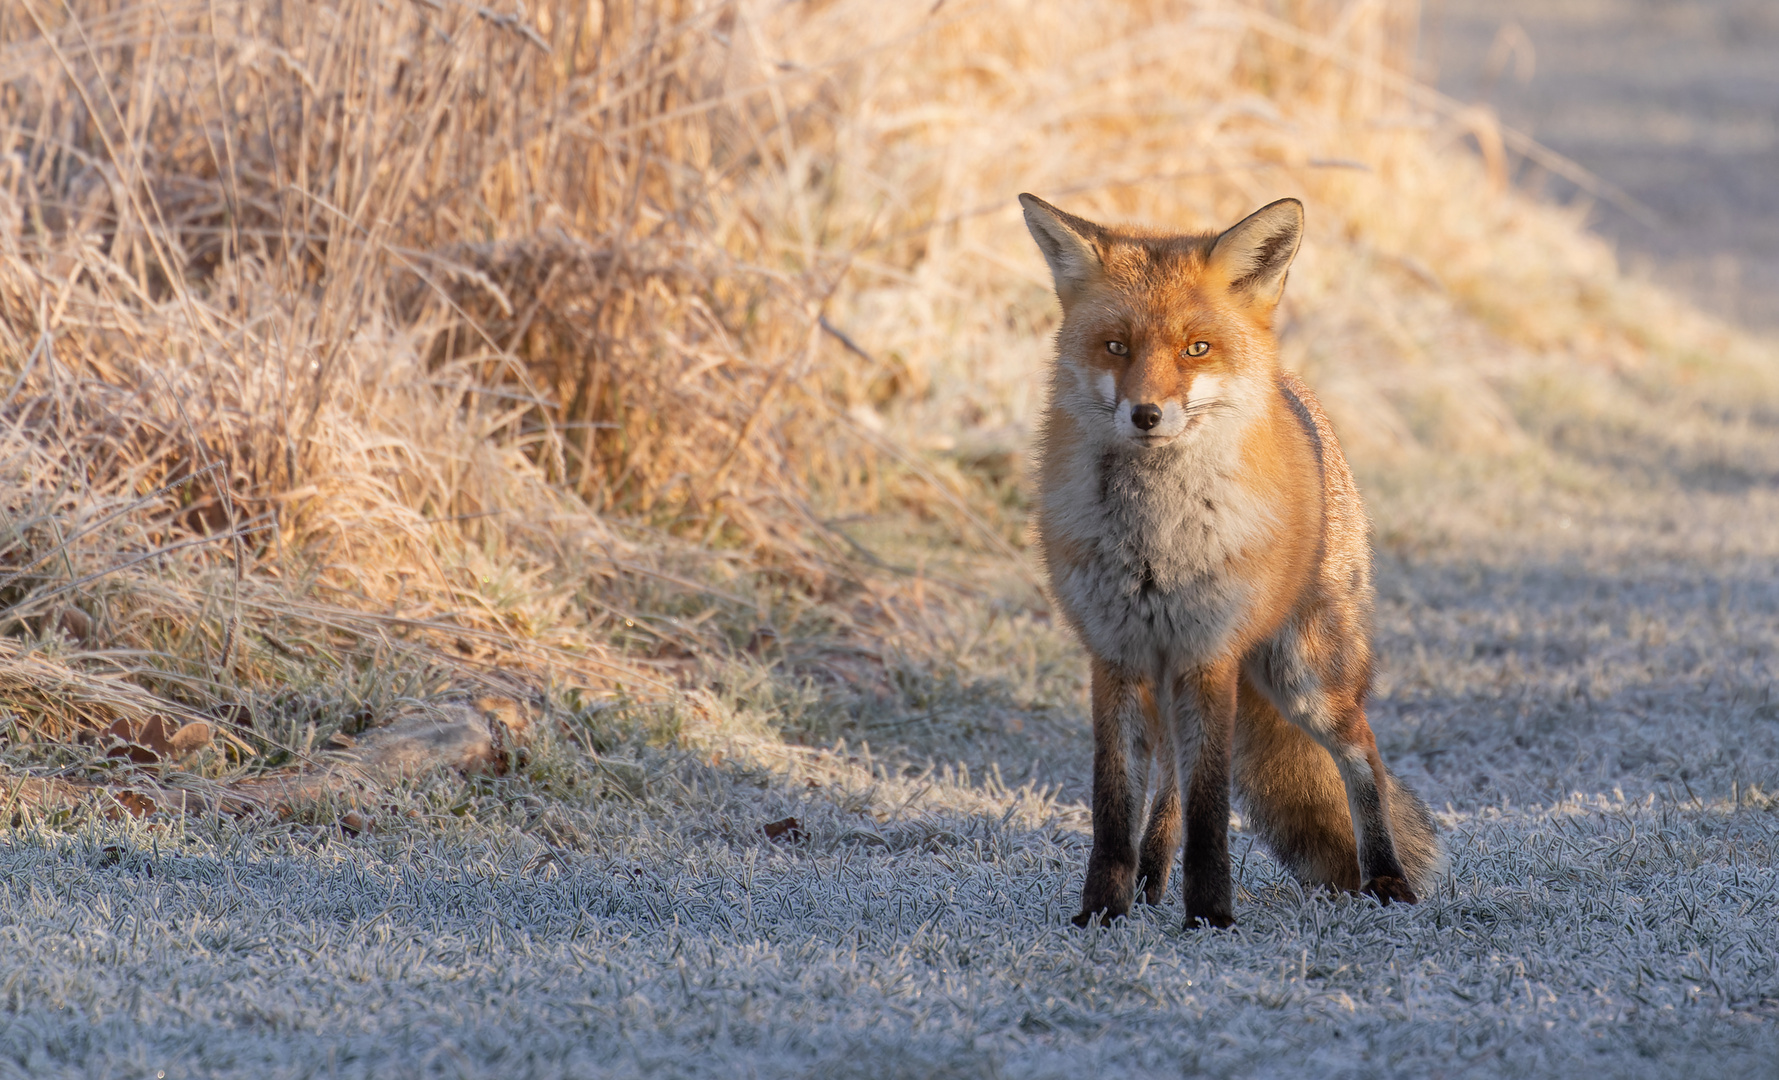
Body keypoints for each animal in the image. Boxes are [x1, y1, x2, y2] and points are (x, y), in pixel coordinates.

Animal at [1024, 192, 1437, 932]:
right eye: (1116, 346)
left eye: (1196, 348)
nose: (1146, 414)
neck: (1154, 544)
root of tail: (1292, 384)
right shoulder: (1116, 655)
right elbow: (1113, 807)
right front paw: (1101, 913)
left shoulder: (1207, 654)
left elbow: (1212, 809)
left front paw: (1211, 917)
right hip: (1177, 687)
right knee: (1167, 786)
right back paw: (1150, 883)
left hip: (1307, 677)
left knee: (1362, 758)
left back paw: (1385, 878)